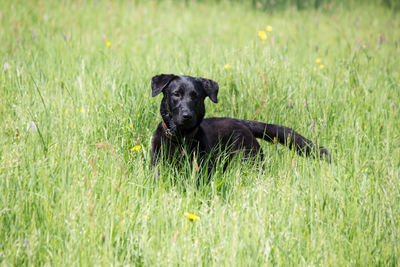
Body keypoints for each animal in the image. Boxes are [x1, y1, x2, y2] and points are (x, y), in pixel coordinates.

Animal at [152, 73, 330, 174]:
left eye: (196, 97)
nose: (187, 116)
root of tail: (241, 122)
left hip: (252, 162)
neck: (181, 139)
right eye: (176, 94)